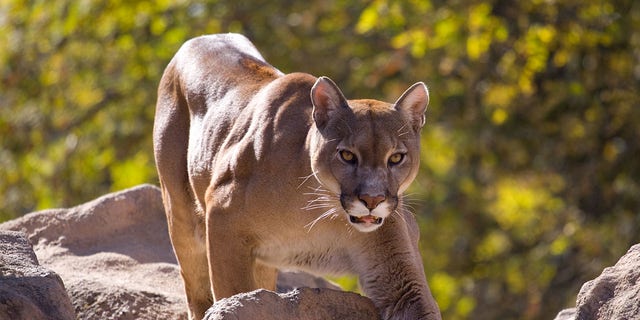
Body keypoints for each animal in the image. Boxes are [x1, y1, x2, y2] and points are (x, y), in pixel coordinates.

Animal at [154, 33, 440, 318]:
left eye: (396, 158)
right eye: (347, 156)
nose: (373, 200)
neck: (322, 211)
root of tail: (205, 36)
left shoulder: (397, 267)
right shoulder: (223, 219)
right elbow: (232, 295)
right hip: (182, 217)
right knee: (196, 288)